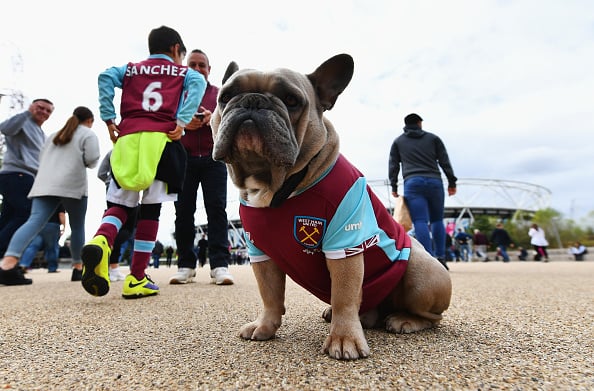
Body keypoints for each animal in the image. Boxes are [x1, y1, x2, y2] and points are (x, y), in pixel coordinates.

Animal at [210, 55, 450, 362]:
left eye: (290, 100)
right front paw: (265, 325)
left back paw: (404, 319)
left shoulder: (344, 245)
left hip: (422, 272)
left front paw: (345, 338)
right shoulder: (259, 251)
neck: (278, 187)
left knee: (433, 317)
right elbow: (270, 294)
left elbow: (345, 295)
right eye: (226, 97)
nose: (252, 101)